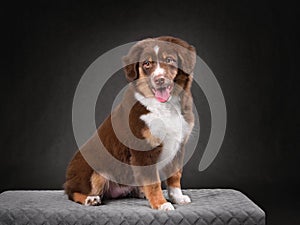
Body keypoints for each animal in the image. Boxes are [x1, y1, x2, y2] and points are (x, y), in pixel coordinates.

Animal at [64, 35, 196, 211]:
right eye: (146, 63)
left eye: (169, 59)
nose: (159, 80)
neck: (165, 107)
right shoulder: (143, 150)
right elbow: (153, 182)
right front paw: (161, 204)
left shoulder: (179, 145)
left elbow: (175, 175)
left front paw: (177, 197)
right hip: (94, 171)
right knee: (71, 191)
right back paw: (90, 199)